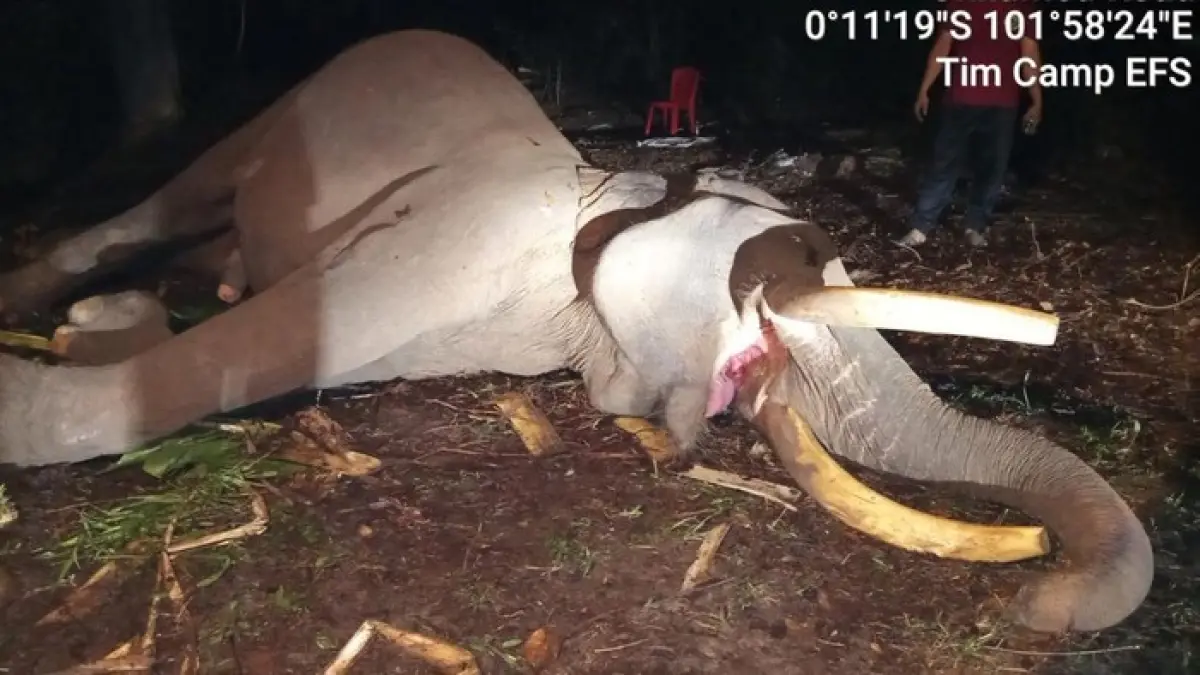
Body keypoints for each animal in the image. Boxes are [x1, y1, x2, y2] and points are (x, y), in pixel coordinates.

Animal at [0, 29, 1151, 634]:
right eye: (788, 279)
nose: (1038, 592)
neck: (618, 188)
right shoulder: (454, 240)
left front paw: (98, 335)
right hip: (293, 99)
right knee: (166, 201)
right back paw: (45, 292)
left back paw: (120, 310)